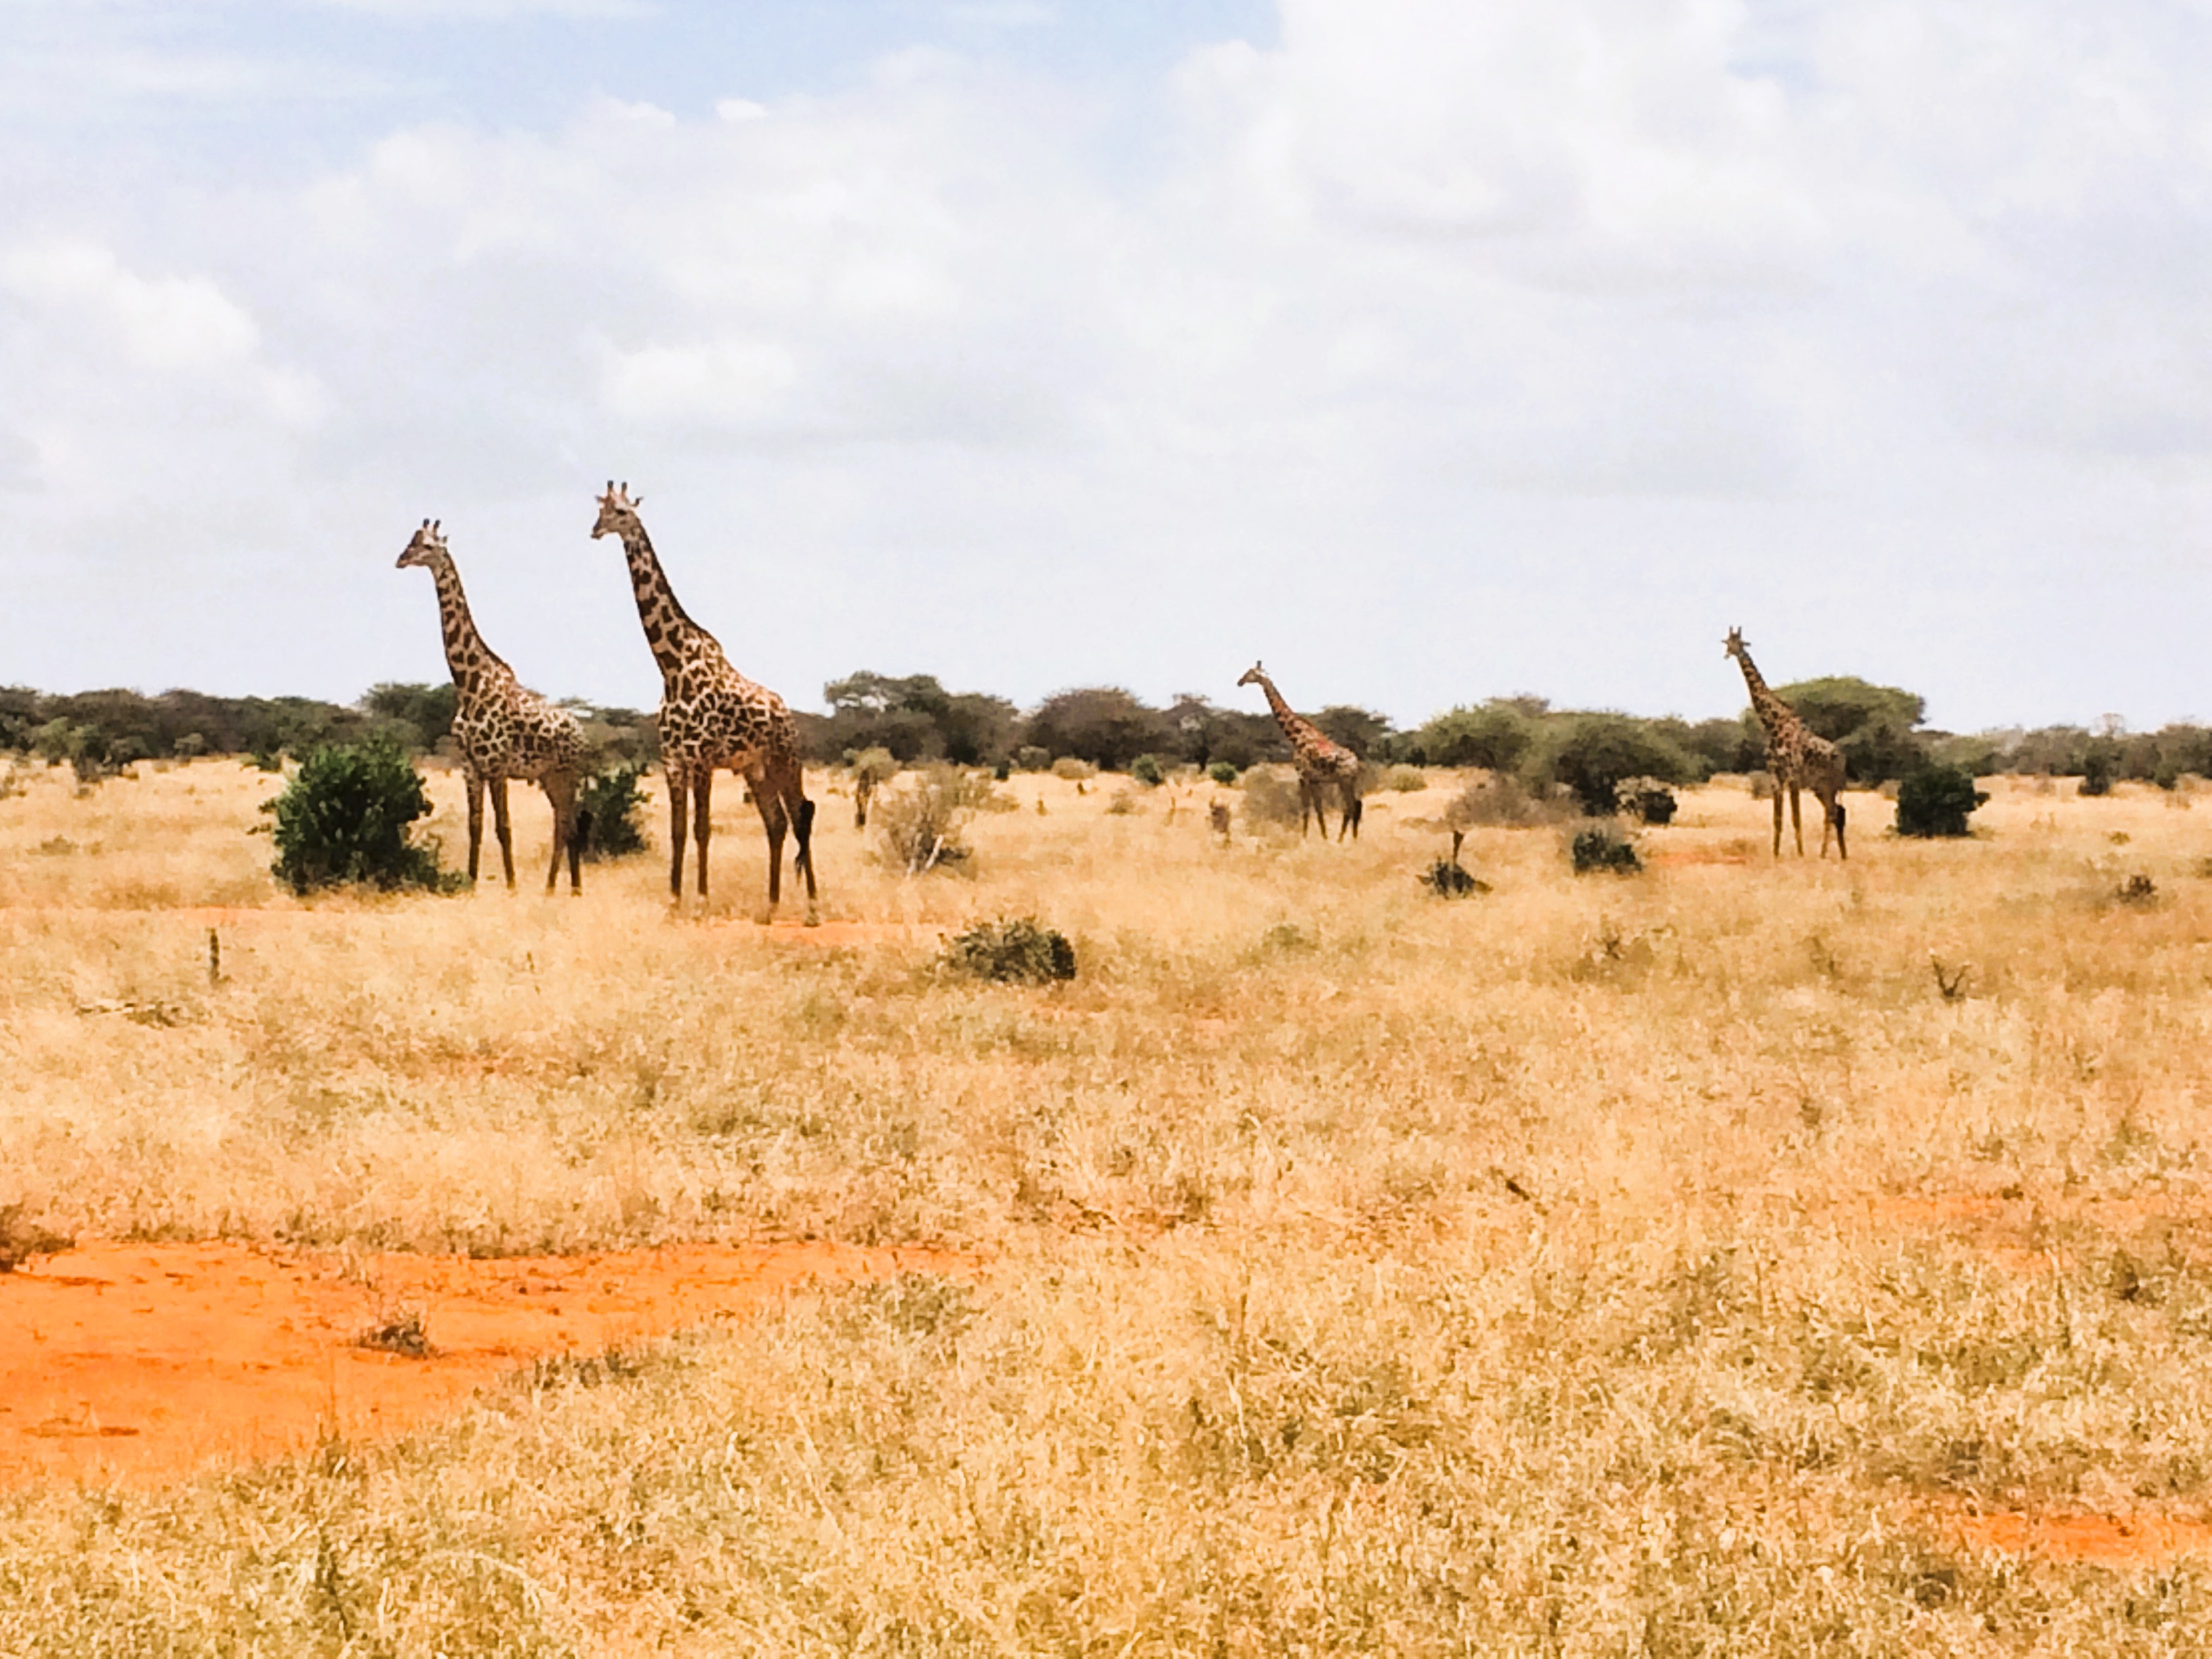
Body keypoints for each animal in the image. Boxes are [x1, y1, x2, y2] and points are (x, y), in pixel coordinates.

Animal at [395, 519, 588, 892]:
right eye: (411, 541)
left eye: (428, 546)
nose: (401, 559)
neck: (469, 684)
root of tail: (584, 736)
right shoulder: (470, 766)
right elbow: (475, 827)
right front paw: (470, 885)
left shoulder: (496, 765)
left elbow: (504, 827)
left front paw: (511, 887)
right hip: (548, 776)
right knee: (564, 824)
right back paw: (561, 889)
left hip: (568, 773)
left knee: (567, 825)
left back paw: (562, 888)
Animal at [590, 483, 816, 910]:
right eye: (602, 511)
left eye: (624, 513)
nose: (596, 531)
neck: (671, 665)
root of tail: (788, 716)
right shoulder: (674, 761)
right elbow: (678, 831)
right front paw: (675, 901)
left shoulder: (702, 759)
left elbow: (702, 829)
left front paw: (701, 899)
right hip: (756, 768)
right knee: (777, 823)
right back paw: (771, 905)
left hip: (785, 760)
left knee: (800, 817)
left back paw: (812, 906)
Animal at [1237, 661, 1364, 840]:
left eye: (1250, 673)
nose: (1239, 682)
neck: (1297, 737)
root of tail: (1356, 762)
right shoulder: (1314, 780)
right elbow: (1318, 810)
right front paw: (1324, 838)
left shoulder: (1303, 776)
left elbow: (1305, 809)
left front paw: (1304, 839)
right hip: (1347, 781)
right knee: (1354, 805)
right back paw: (1349, 839)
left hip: (1345, 780)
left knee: (1351, 807)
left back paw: (1342, 840)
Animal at [1724, 627, 1848, 860]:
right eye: (1726, 642)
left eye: (1739, 642)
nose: (1728, 654)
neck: (1772, 725)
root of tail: (1841, 757)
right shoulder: (1775, 776)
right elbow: (1778, 818)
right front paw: (1775, 853)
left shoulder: (1792, 776)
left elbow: (1796, 817)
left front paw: (1800, 854)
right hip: (1819, 786)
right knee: (1835, 812)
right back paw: (1838, 855)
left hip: (1829, 784)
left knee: (1833, 813)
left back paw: (1825, 854)